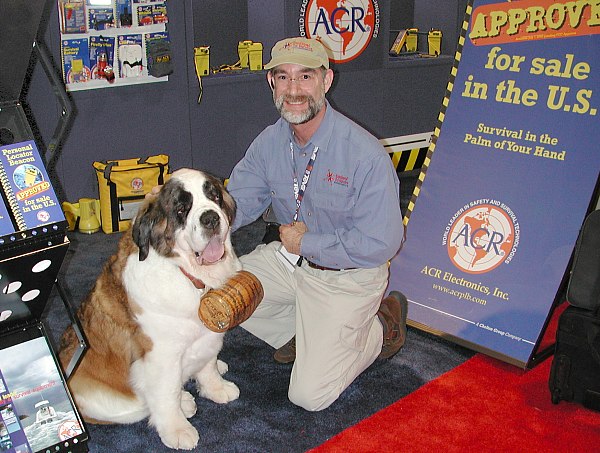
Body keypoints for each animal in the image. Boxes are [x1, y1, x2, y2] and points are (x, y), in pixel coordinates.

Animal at [58, 169, 240, 448]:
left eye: (215, 197)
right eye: (181, 209)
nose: (210, 218)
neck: (187, 274)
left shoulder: (209, 333)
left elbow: (208, 365)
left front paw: (216, 388)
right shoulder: (161, 357)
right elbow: (166, 393)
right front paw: (177, 430)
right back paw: (184, 403)